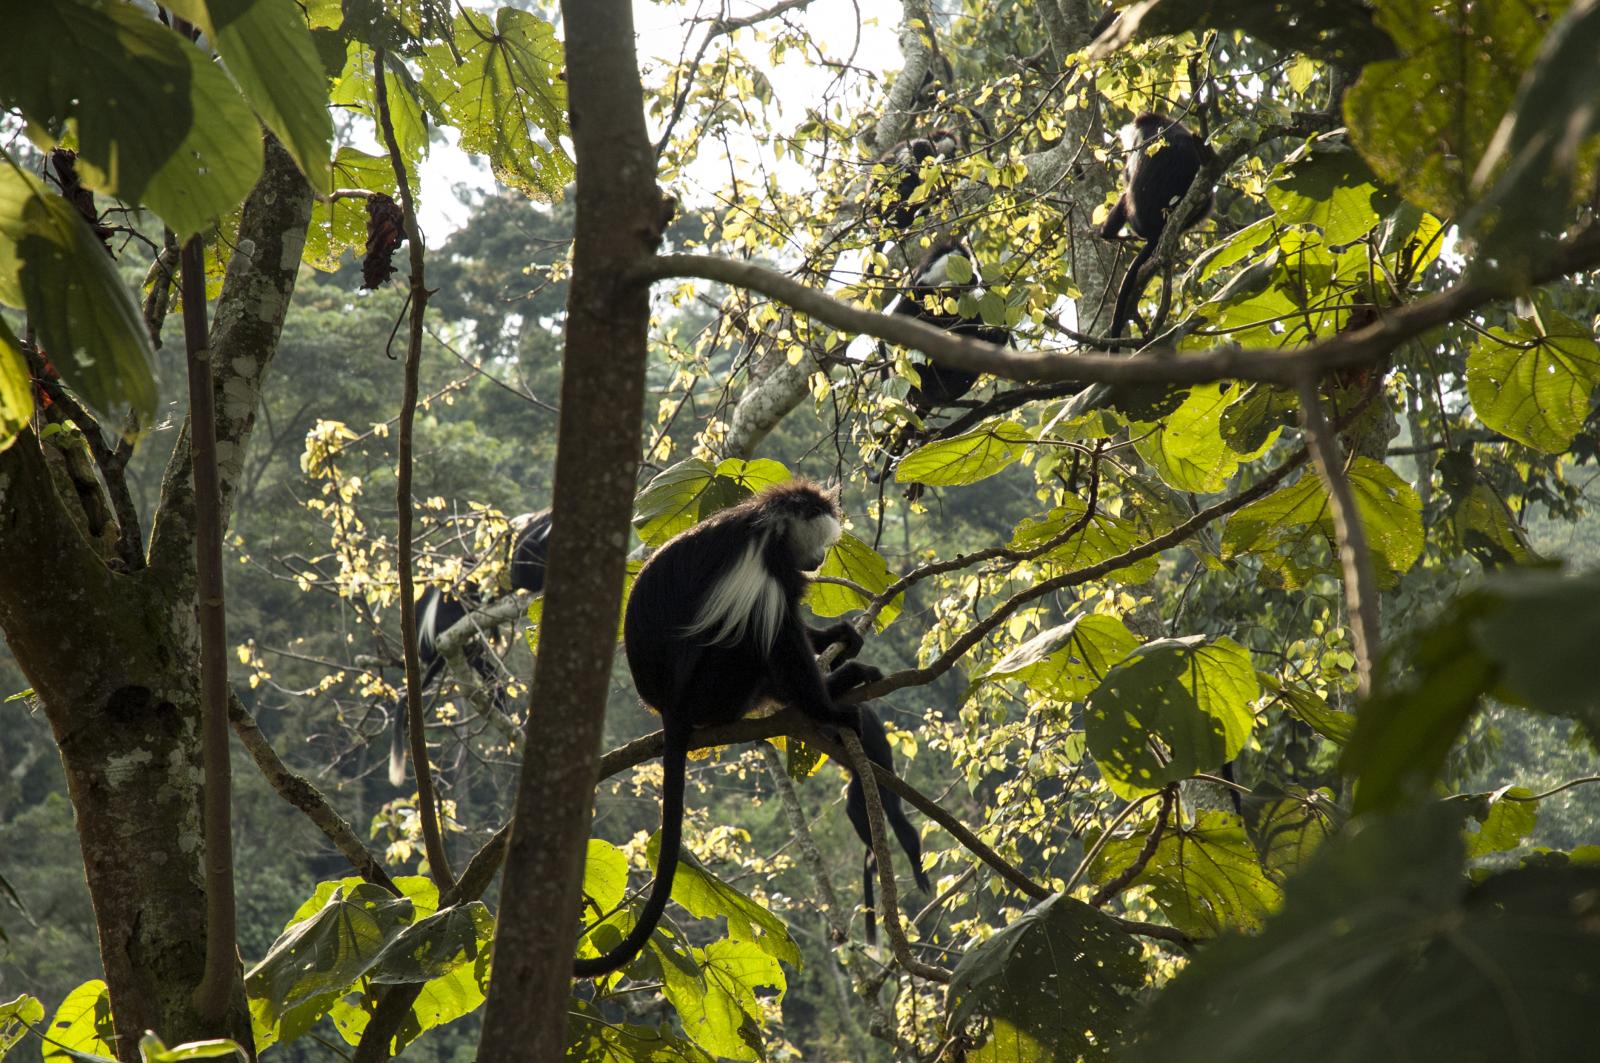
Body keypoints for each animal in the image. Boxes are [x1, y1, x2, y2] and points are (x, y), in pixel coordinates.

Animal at [572, 483, 876, 979]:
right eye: (816, 544)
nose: (816, 562)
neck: (771, 532)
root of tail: (669, 708)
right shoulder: (761, 568)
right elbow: (780, 635)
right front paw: (827, 709)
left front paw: (839, 635)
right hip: (715, 688)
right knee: (754, 637)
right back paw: (825, 694)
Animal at [844, 704, 934, 947]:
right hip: (862, 784)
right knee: (854, 810)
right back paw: (872, 854)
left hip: (885, 782)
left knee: (896, 817)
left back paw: (914, 864)